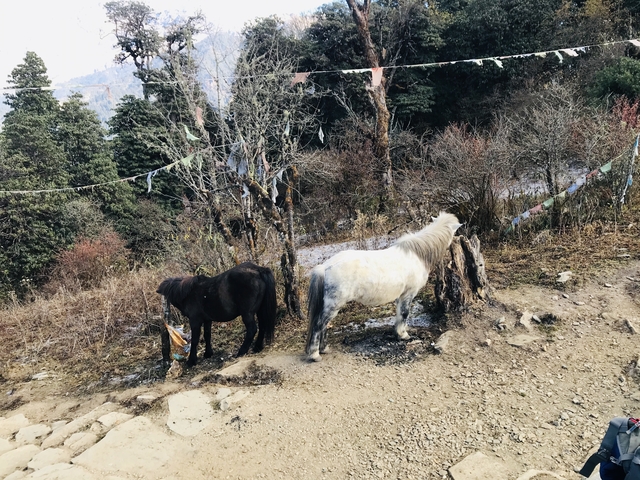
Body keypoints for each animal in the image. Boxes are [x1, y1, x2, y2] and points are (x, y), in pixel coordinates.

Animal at [305, 212, 462, 362]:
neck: (417, 255)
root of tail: (325, 267)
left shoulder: (401, 296)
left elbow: (399, 314)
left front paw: (398, 334)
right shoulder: (409, 293)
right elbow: (405, 314)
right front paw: (404, 335)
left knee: (324, 325)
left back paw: (324, 349)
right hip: (334, 304)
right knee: (319, 325)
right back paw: (315, 355)